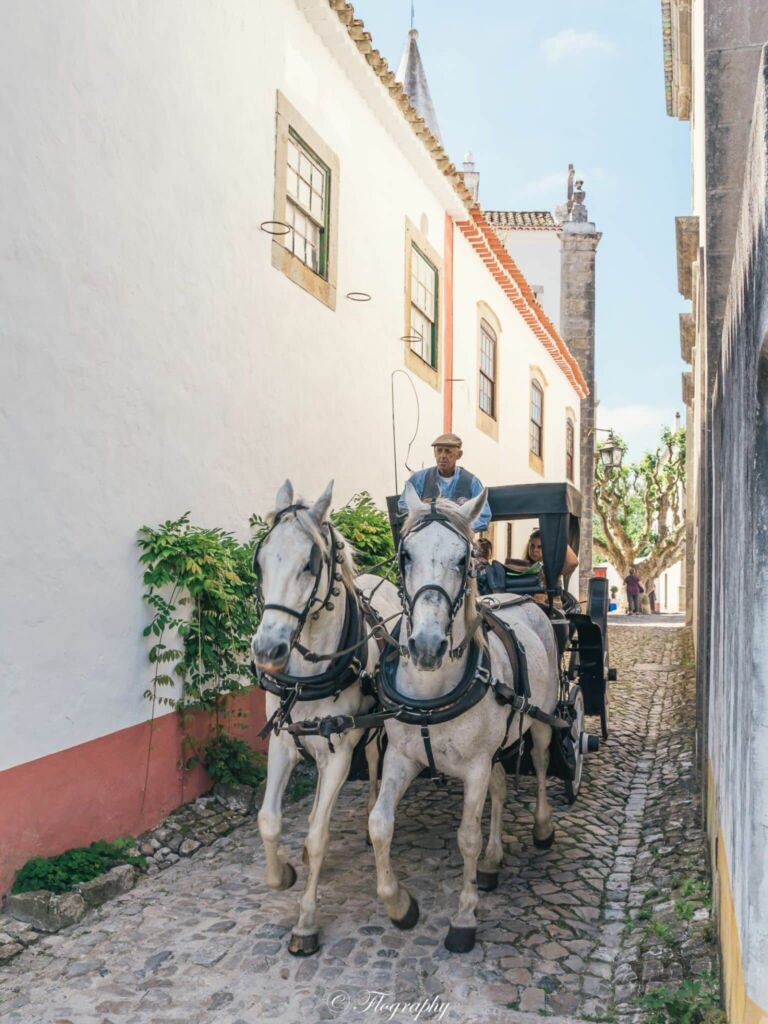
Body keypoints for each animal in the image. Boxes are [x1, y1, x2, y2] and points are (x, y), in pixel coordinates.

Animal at [252, 477, 399, 950]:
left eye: (309, 564)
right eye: (259, 563)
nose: (268, 651)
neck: (307, 674)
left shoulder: (341, 750)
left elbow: (317, 834)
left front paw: (306, 921)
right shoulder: (283, 740)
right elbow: (269, 821)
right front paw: (281, 873)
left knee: (372, 762)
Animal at [370, 487, 561, 950]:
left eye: (463, 559)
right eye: (405, 555)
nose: (426, 645)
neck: (432, 691)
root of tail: (527, 600)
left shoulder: (474, 766)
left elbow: (467, 836)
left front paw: (464, 917)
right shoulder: (402, 757)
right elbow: (380, 825)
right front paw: (399, 905)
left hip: (542, 722)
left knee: (541, 763)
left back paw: (542, 828)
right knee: (500, 788)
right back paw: (493, 861)